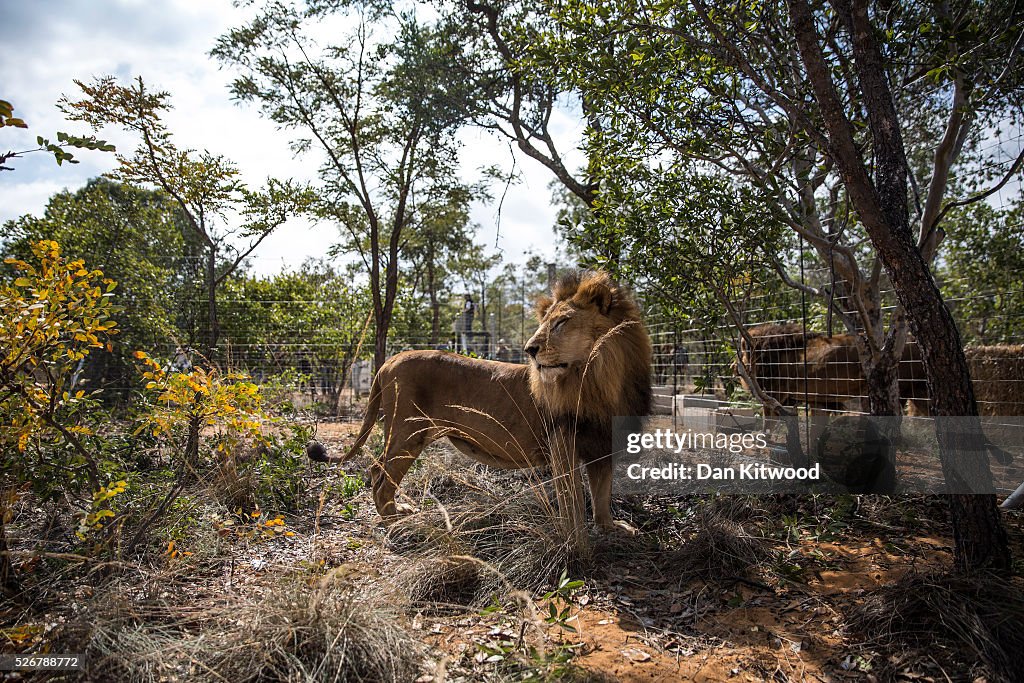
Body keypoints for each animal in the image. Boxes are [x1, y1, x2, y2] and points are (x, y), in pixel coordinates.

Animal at [307, 270, 651, 532]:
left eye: (561, 322)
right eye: (545, 323)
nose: (529, 349)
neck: (597, 377)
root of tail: (389, 361)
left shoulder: (604, 442)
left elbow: (602, 491)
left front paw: (611, 527)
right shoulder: (561, 442)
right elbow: (573, 499)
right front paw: (576, 538)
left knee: (376, 470)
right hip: (408, 432)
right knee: (381, 477)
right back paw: (397, 521)